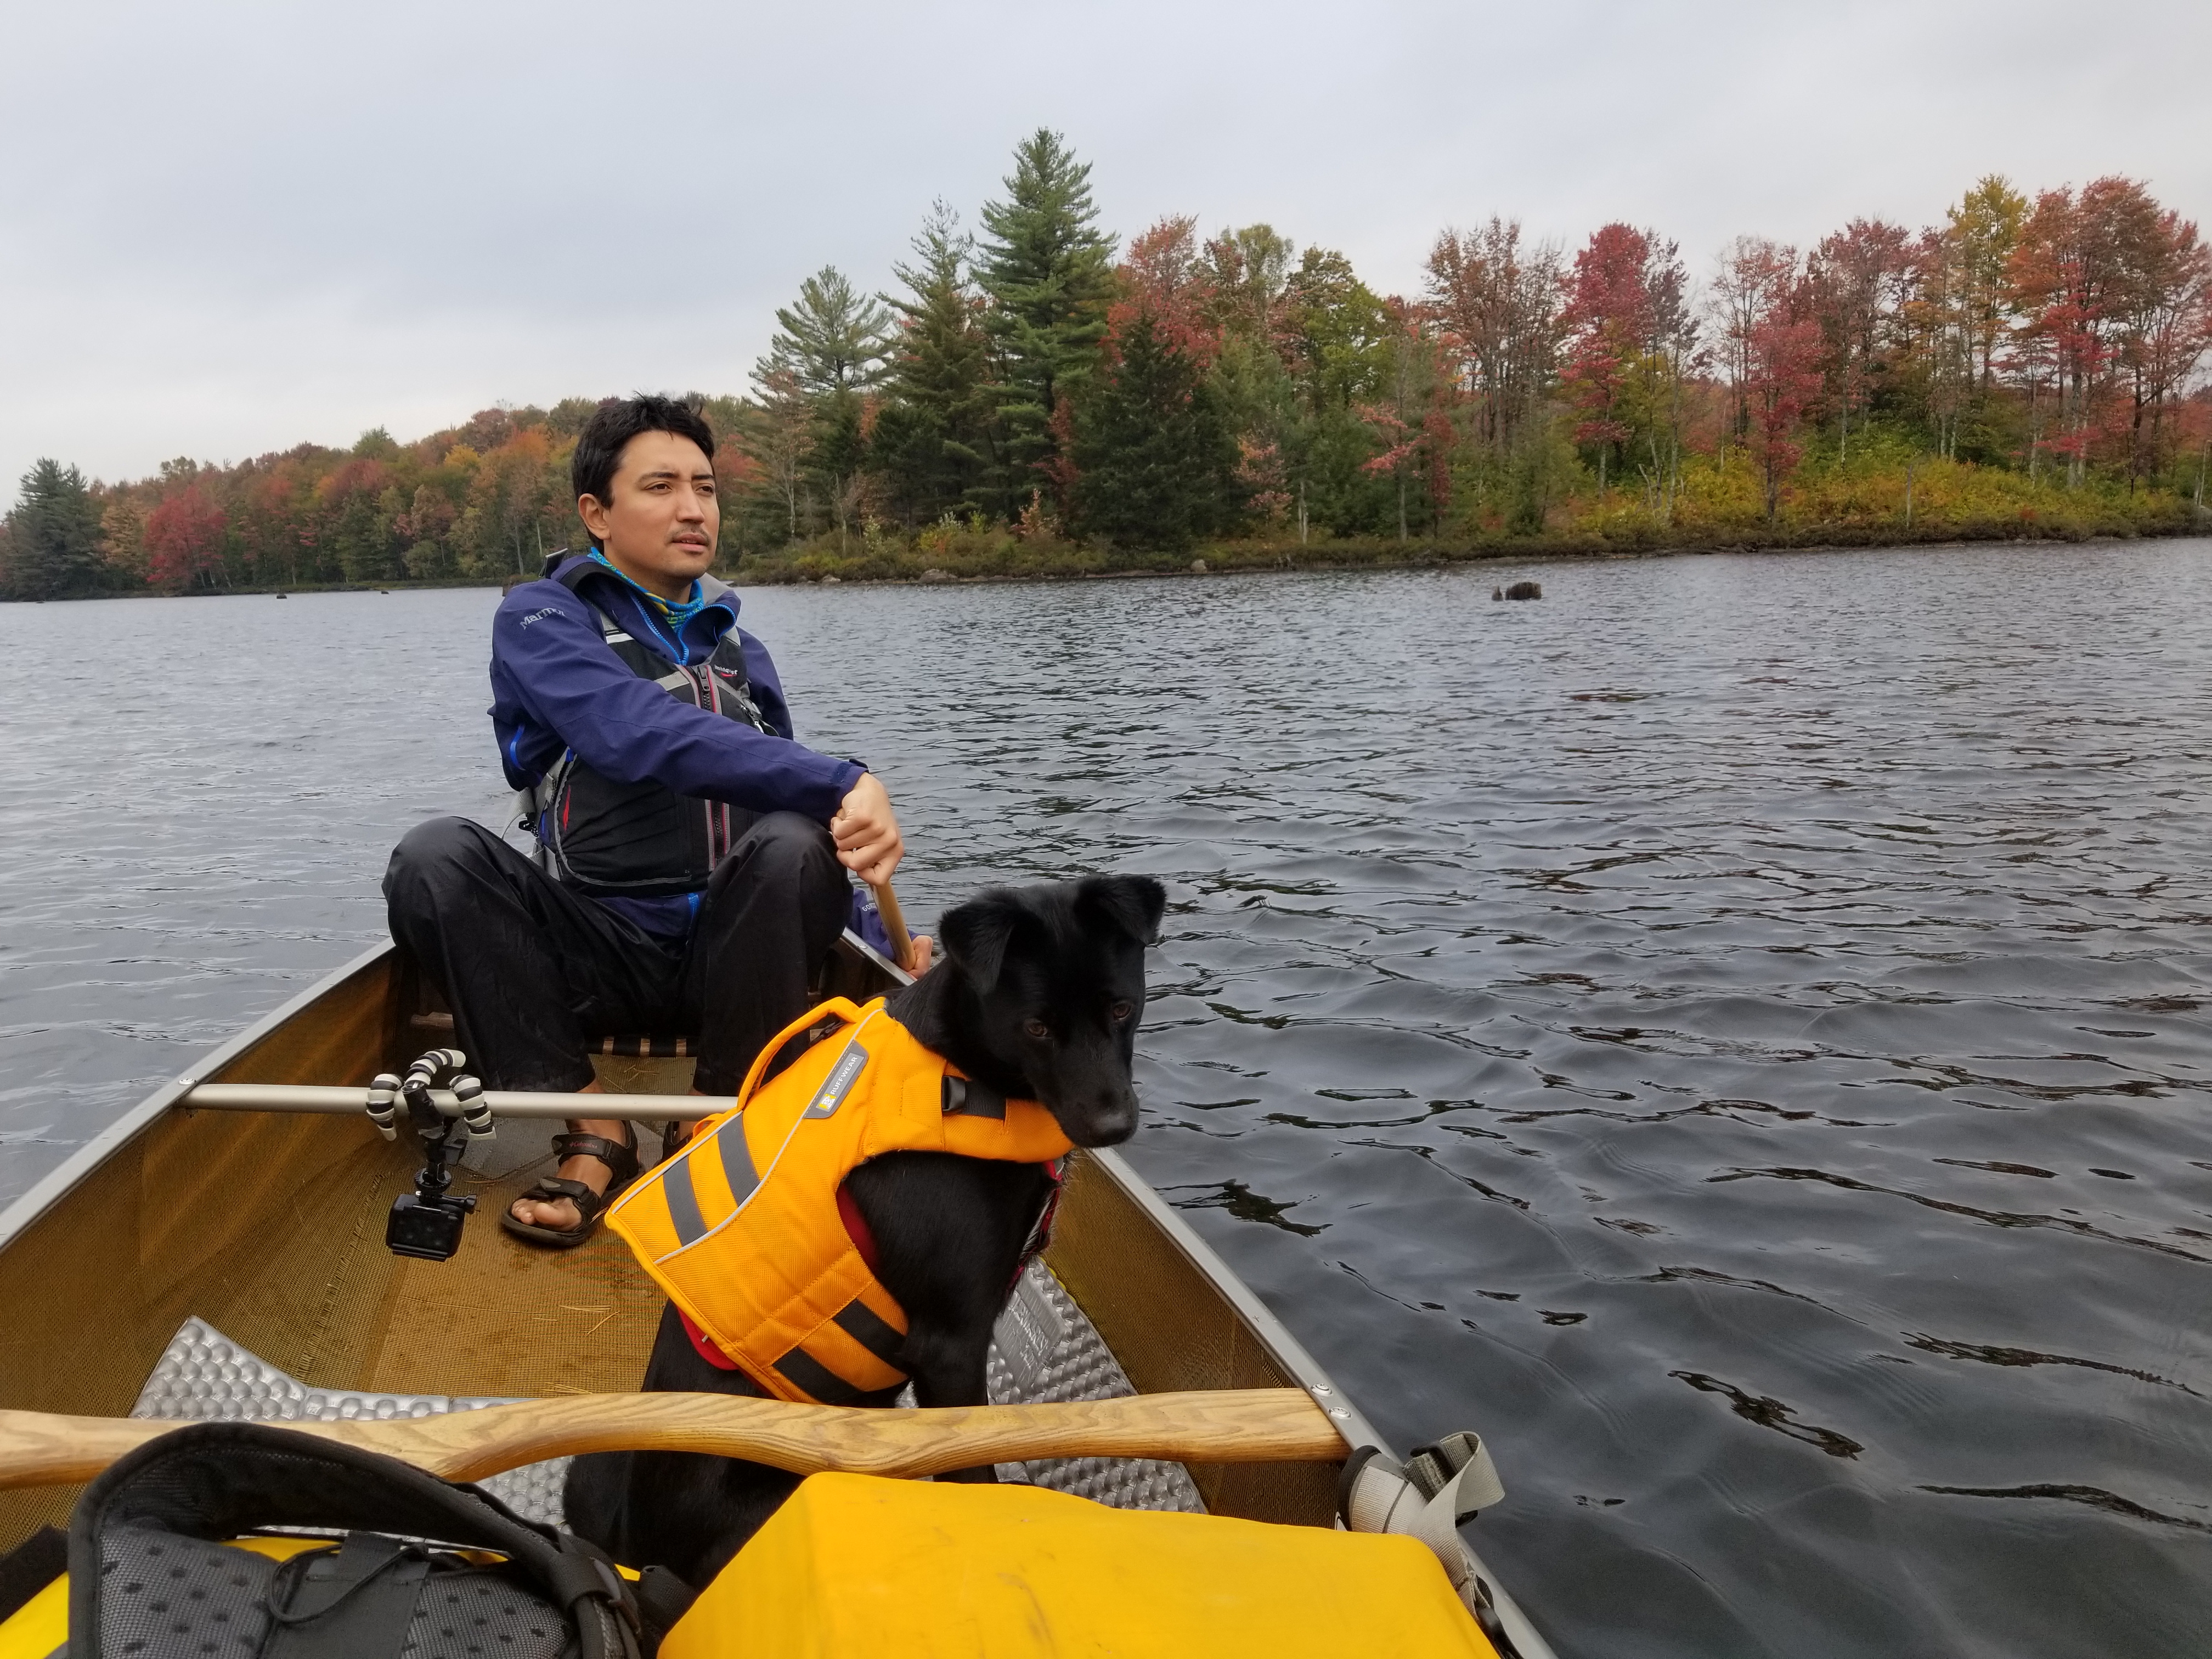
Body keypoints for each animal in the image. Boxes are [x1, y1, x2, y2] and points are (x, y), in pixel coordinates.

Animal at [562, 871, 1167, 1583]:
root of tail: (641, 1554)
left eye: (1122, 1009)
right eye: (1037, 1027)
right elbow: (973, 1472)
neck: (962, 1079)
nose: (1113, 1126)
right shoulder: (951, 1348)